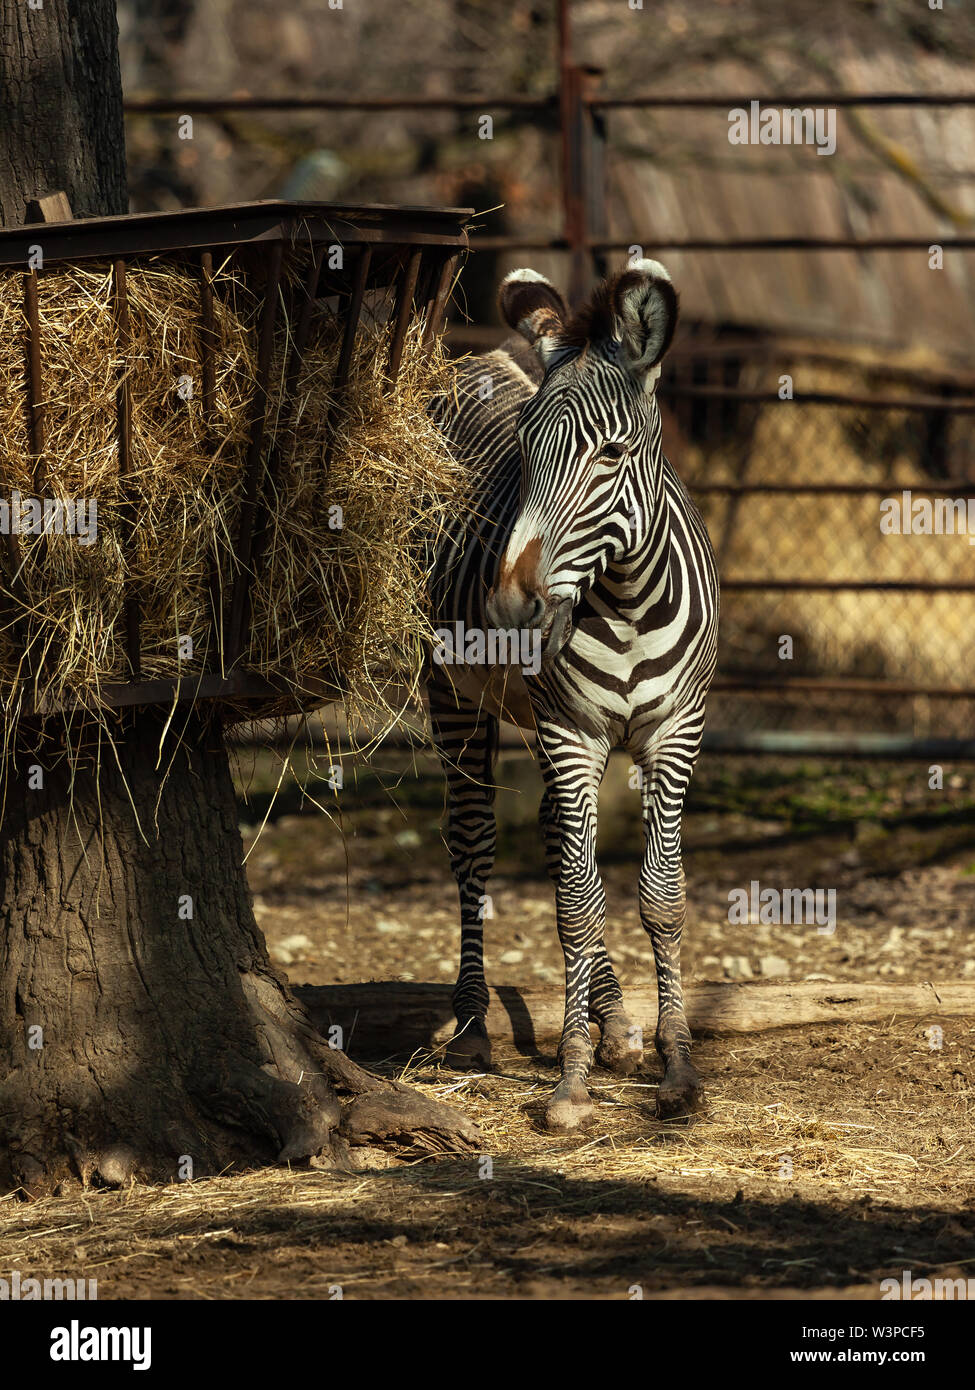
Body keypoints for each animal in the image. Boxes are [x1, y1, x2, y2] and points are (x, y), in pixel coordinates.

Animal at [427, 260, 719, 1132]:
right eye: (524, 449)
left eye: (611, 454)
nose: (508, 610)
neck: (624, 601)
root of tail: (481, 357)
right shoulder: (570, 733)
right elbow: (575, 905)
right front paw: (571, 1081)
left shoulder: (674, 731)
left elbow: (658, 896)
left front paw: (674, 1066)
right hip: (453, 699)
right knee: (474, 844)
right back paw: (470, 1028)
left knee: (560, 843)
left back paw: (614, 1020)